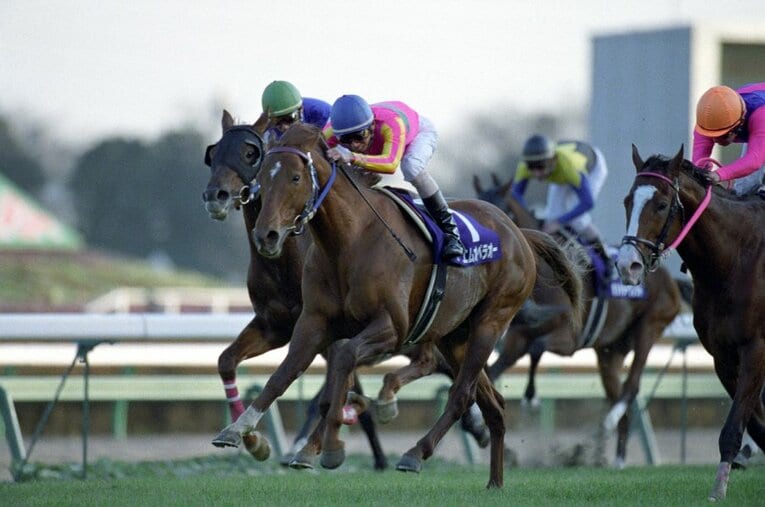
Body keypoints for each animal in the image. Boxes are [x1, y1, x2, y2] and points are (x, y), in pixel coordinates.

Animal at [211, 123, 583, 488]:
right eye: (262, 175)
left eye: (295, 178)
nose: (267, 236)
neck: (348, 241)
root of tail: (519, 233)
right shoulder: (311, 323)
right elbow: (283, 374)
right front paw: (240, 431)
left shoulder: (390, 327)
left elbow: (342, 367)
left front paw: (329, 447)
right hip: (454, 336)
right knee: (492, 403)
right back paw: (494, 482)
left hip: (490, 322)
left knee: (461, 394)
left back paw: (415, 453)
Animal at [474, 172, 685, 468]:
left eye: (499, 213)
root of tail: (669, 279)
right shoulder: (517, 339)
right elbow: (494, 370)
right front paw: (477, 421)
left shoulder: (568, 339)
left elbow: (537, 348)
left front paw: (530, 397)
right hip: (610, 351)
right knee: (620, 397)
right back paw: (618, 460)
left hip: (649, 327)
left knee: (631, 386)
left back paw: (610, 425)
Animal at [617, 145, 765, 501]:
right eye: (628, 201)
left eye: (661, 204)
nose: (627, 265)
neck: (735, 260)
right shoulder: (723, 356)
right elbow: (754, 422)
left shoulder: (756, 348)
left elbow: (736, 423)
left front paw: (718, 489)